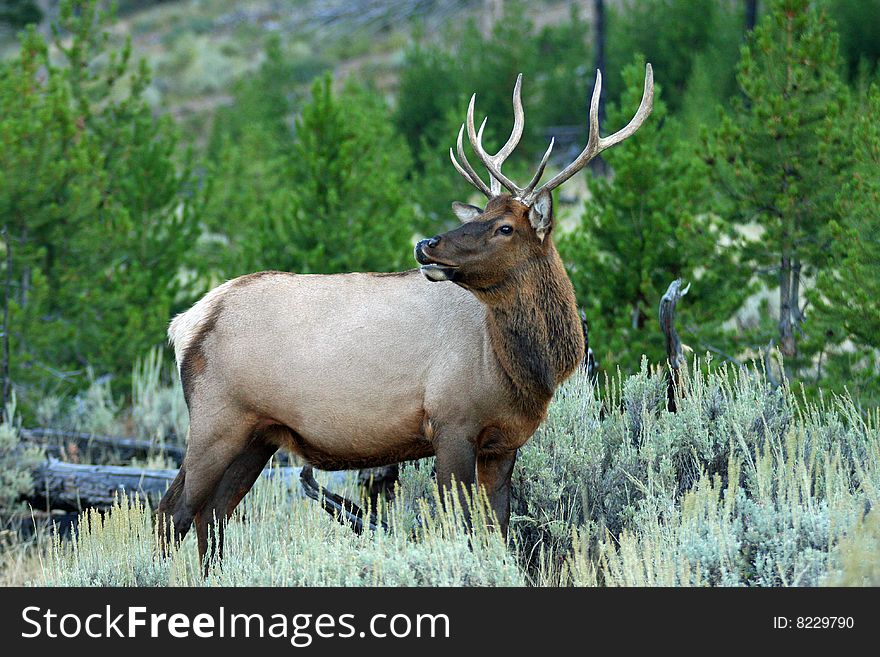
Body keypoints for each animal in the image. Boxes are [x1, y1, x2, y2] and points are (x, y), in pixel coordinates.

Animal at [158, 64, 652, 560]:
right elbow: (462, 527)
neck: (522, 367)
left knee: (212, 515)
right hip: (216, 419)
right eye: (482, 215)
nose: (426, 243)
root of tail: (186, 322)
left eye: (504, 227)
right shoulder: (451, 422)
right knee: (173, 512)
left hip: (258, 434)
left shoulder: (503, 441)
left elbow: (497, 528)